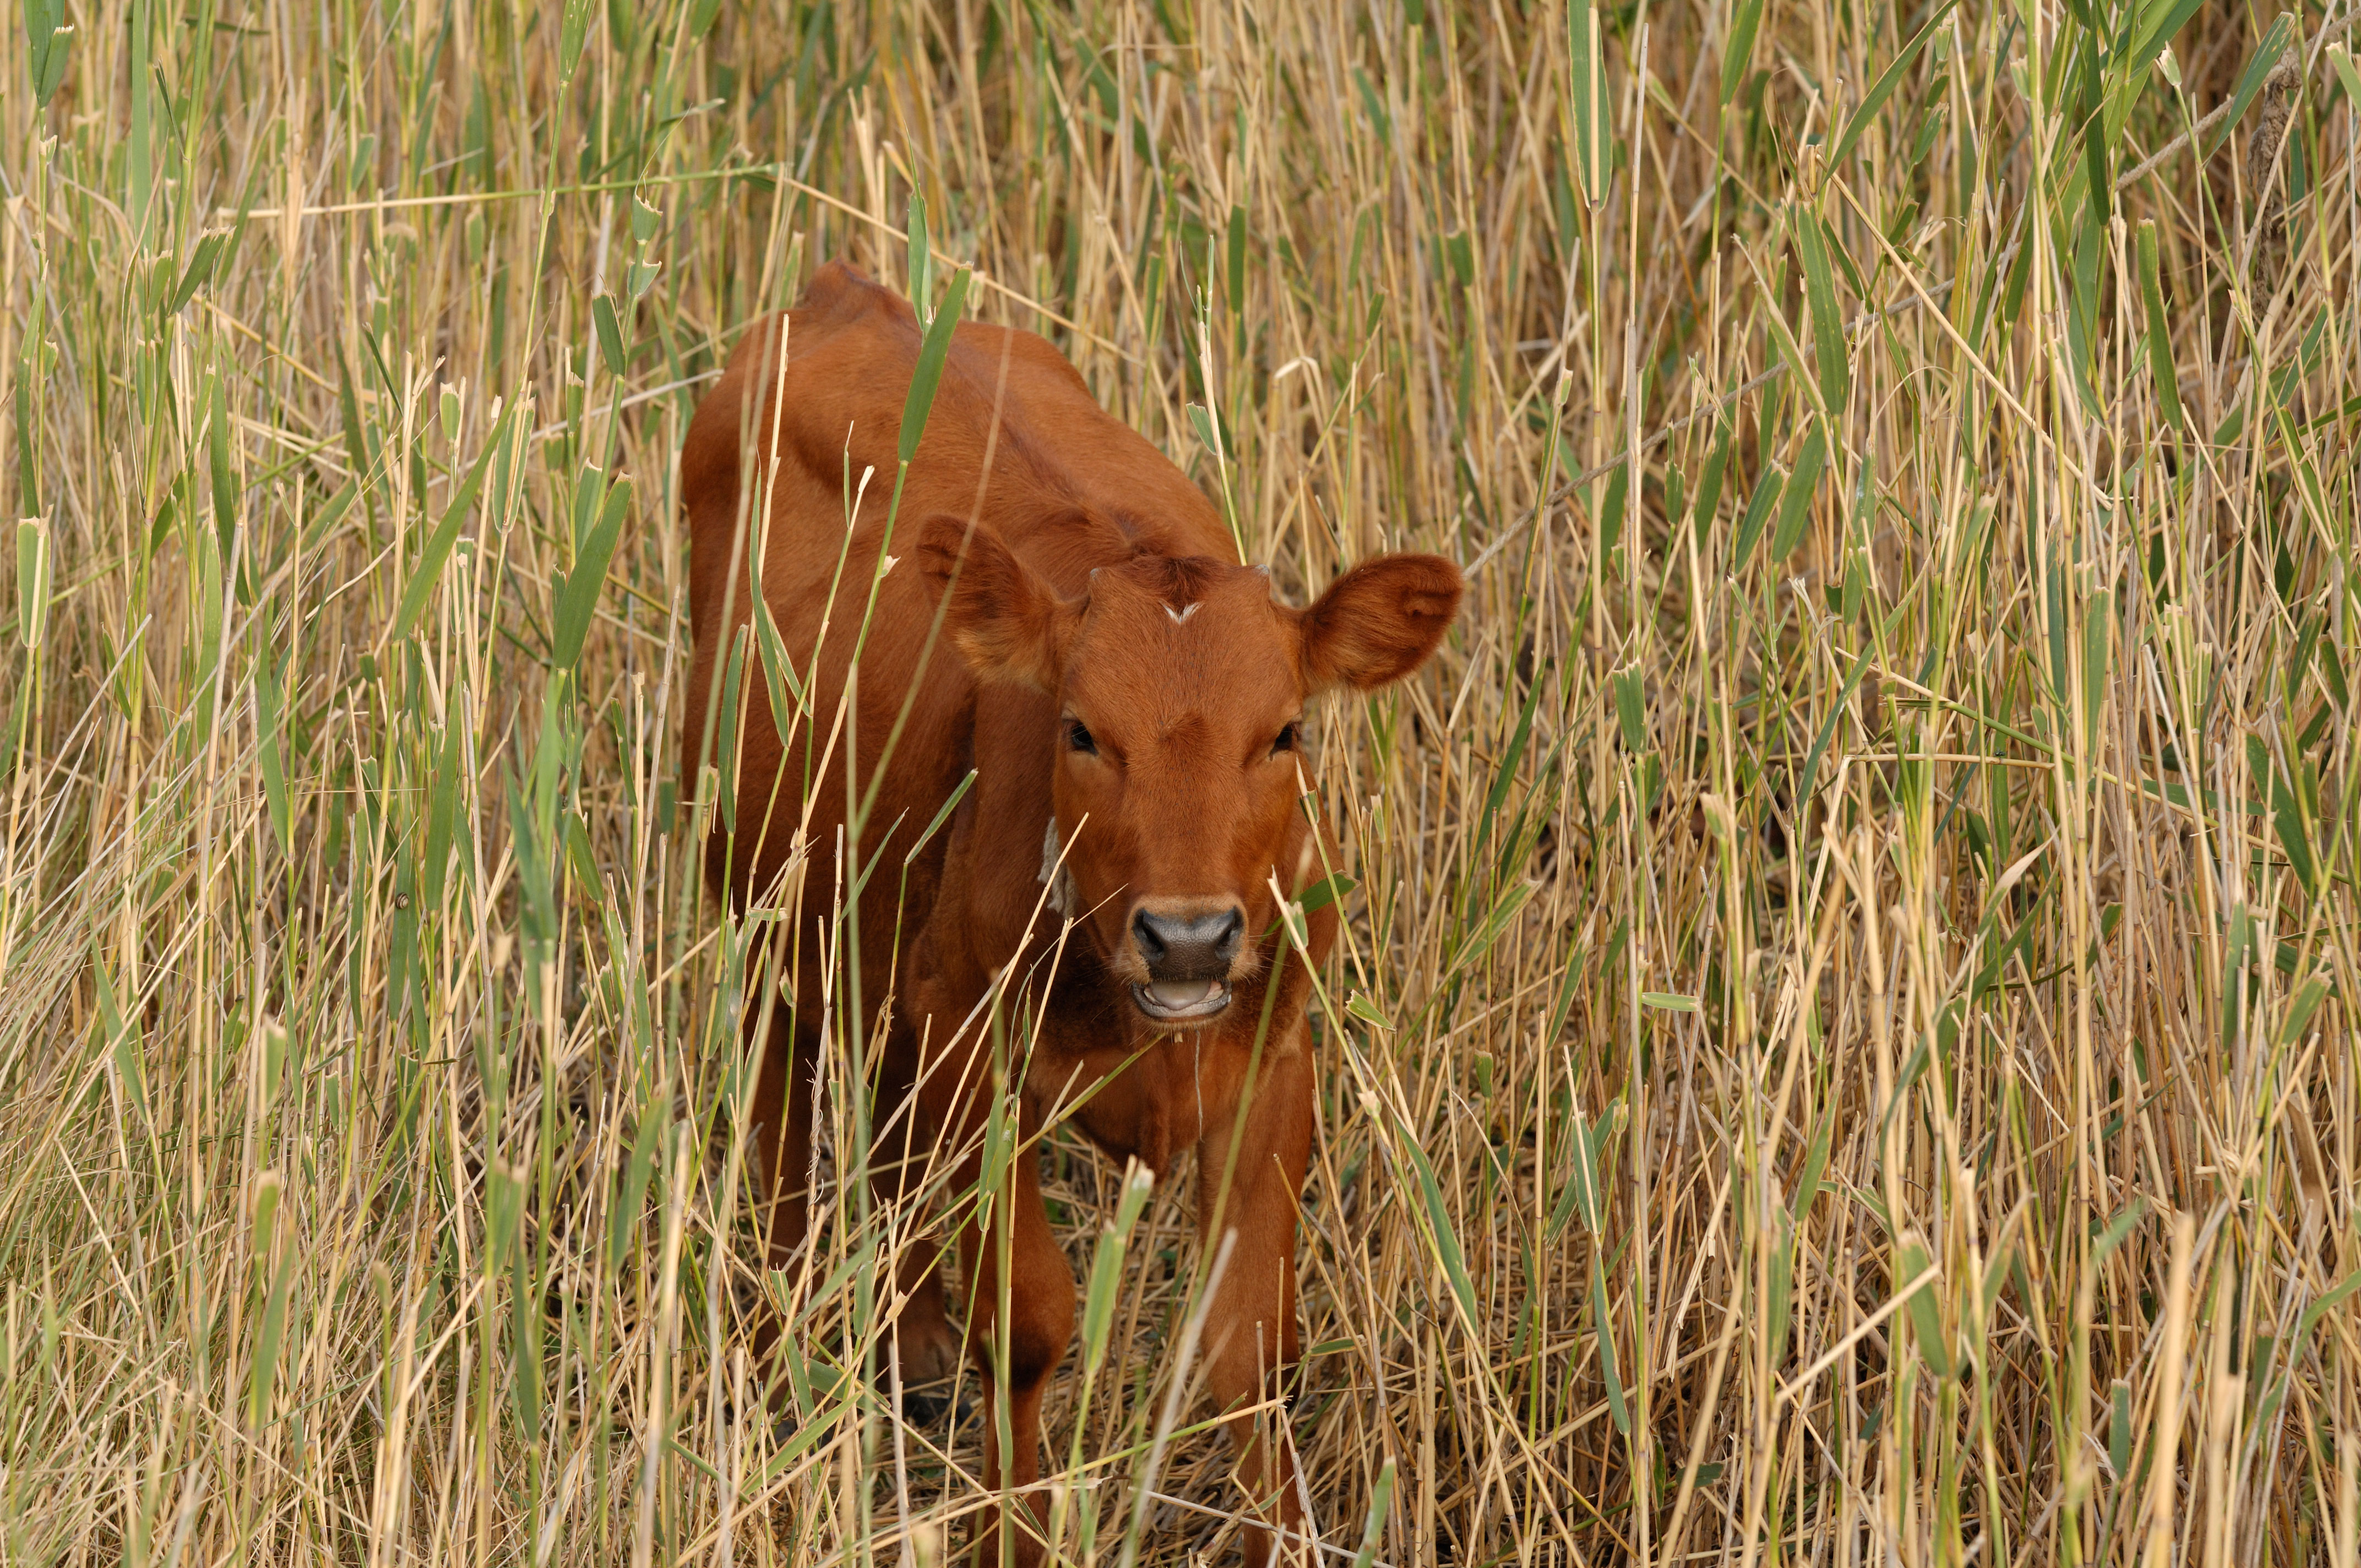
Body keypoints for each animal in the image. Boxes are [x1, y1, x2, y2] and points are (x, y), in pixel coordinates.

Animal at [679, 260, 1461, 1565]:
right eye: (1082, 730)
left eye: (1285, 731)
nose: (1189, 936)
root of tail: (851, 289)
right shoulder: (972, 1048)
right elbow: (1030, 1325)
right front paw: (1014, 1527)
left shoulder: (1272, 1057)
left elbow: (1251, 1346)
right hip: (765, 902)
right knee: (784, 1122)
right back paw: (792, 1349)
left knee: (885, 1133)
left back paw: (915, 1348)